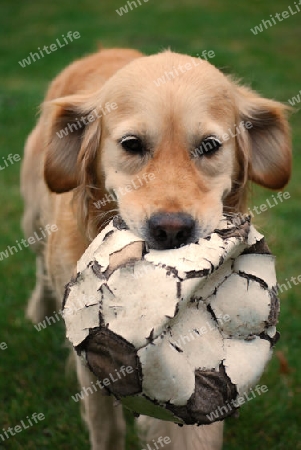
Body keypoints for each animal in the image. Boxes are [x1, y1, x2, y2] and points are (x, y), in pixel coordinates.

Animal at [21, 47, 290, 448]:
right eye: (132, 145)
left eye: (210, 147)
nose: (171, 230)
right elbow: (106, 426)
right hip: (34, 218)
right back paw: (39, 309)